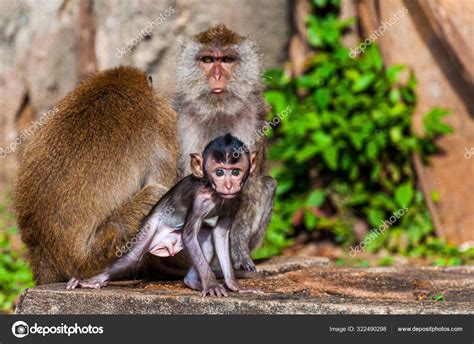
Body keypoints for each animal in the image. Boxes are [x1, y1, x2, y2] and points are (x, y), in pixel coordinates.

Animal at [65, 133, 260, 296]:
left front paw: (233, 285)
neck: (215, 194)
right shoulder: (198, 201)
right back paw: (95, 280)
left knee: (205, 237)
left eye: (235, 171)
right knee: (133, 256)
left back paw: (192, 282)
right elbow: (189, 236)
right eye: (219, 172)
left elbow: (219, 234)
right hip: (151, 224)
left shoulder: (236, 201)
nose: (228, 185)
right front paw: (212, 285)